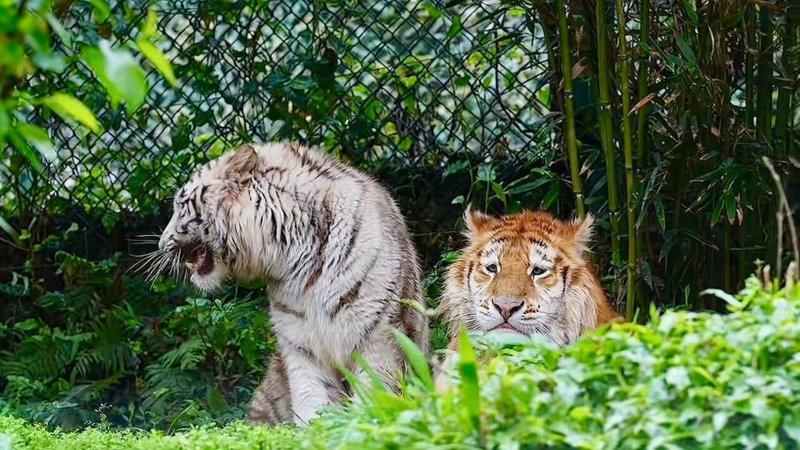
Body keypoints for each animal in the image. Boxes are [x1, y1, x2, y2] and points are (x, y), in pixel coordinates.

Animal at [155, 142, 428, 425]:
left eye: (181, 205)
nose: (160, 244)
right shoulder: (300, 343)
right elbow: (311, 396)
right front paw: (315, 428)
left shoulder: (378, 336)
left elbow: (375, 390)